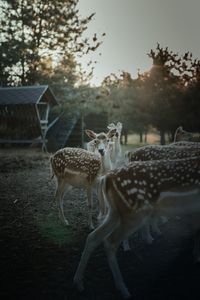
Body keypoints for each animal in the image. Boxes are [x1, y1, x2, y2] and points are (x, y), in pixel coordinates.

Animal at [74, 156, 200, 298]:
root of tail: (106, 178)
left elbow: (196, 230)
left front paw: (196, 257)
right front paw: (196, 258)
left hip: (115, 212)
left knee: (93, 237)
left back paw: (78, 283)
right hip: (135, 213)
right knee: (110, 242)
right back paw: (124, 289)